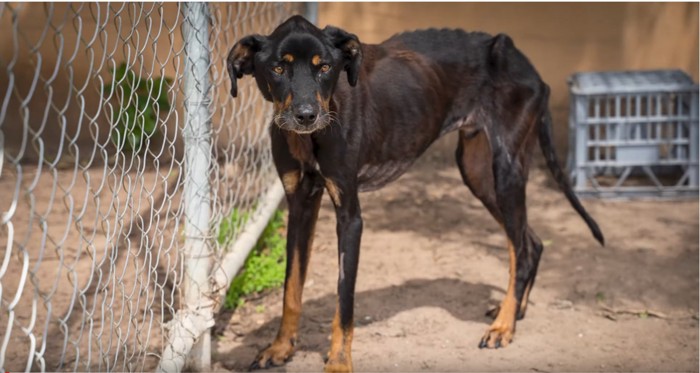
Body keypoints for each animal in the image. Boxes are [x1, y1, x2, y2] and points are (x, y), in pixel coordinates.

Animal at [227, 15, 604, 372]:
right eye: (278, 68)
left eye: (325, 68)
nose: (307, 116)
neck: (309, 139)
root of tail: (523, 60)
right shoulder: (299, 204)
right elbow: (290, 289)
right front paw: (280, 348)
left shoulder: (350, 217)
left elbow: (344, 300)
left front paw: (339, 361)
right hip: (477, 172)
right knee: (531, 242)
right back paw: (514, 312)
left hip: (506, 170)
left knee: (521, 250)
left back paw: (503, 326)